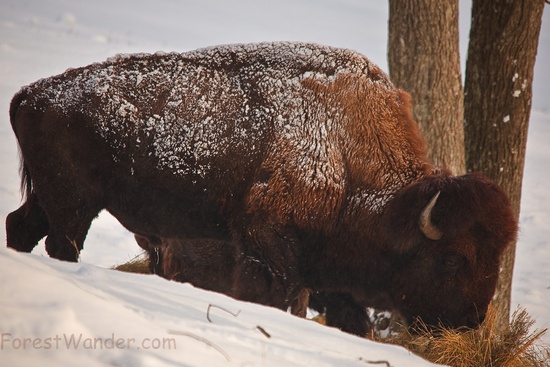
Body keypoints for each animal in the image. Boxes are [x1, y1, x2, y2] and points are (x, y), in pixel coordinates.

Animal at [6, 41, 520, 334]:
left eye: (495, 255)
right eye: (453, 259)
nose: (470, 321)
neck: (347, 146)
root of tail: (30, 94)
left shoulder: (329, 276)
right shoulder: (267, 243)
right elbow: (278, 298)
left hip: (51, 200)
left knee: (20, 227)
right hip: (73, 204)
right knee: (62, 244)